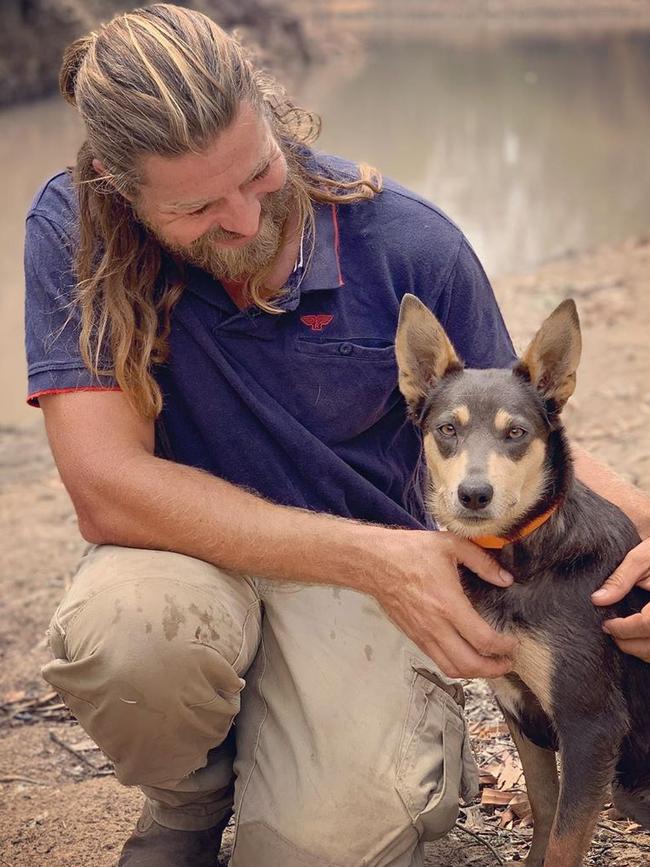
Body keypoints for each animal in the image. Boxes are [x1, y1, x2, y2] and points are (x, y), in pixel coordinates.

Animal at [392, 296, 648, 867]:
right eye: (448, 430)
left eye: (517, 433)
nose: (474, 494)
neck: (523, 557)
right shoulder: (518, 707)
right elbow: (545, 812)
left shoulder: (589, 725)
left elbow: (565, 841)